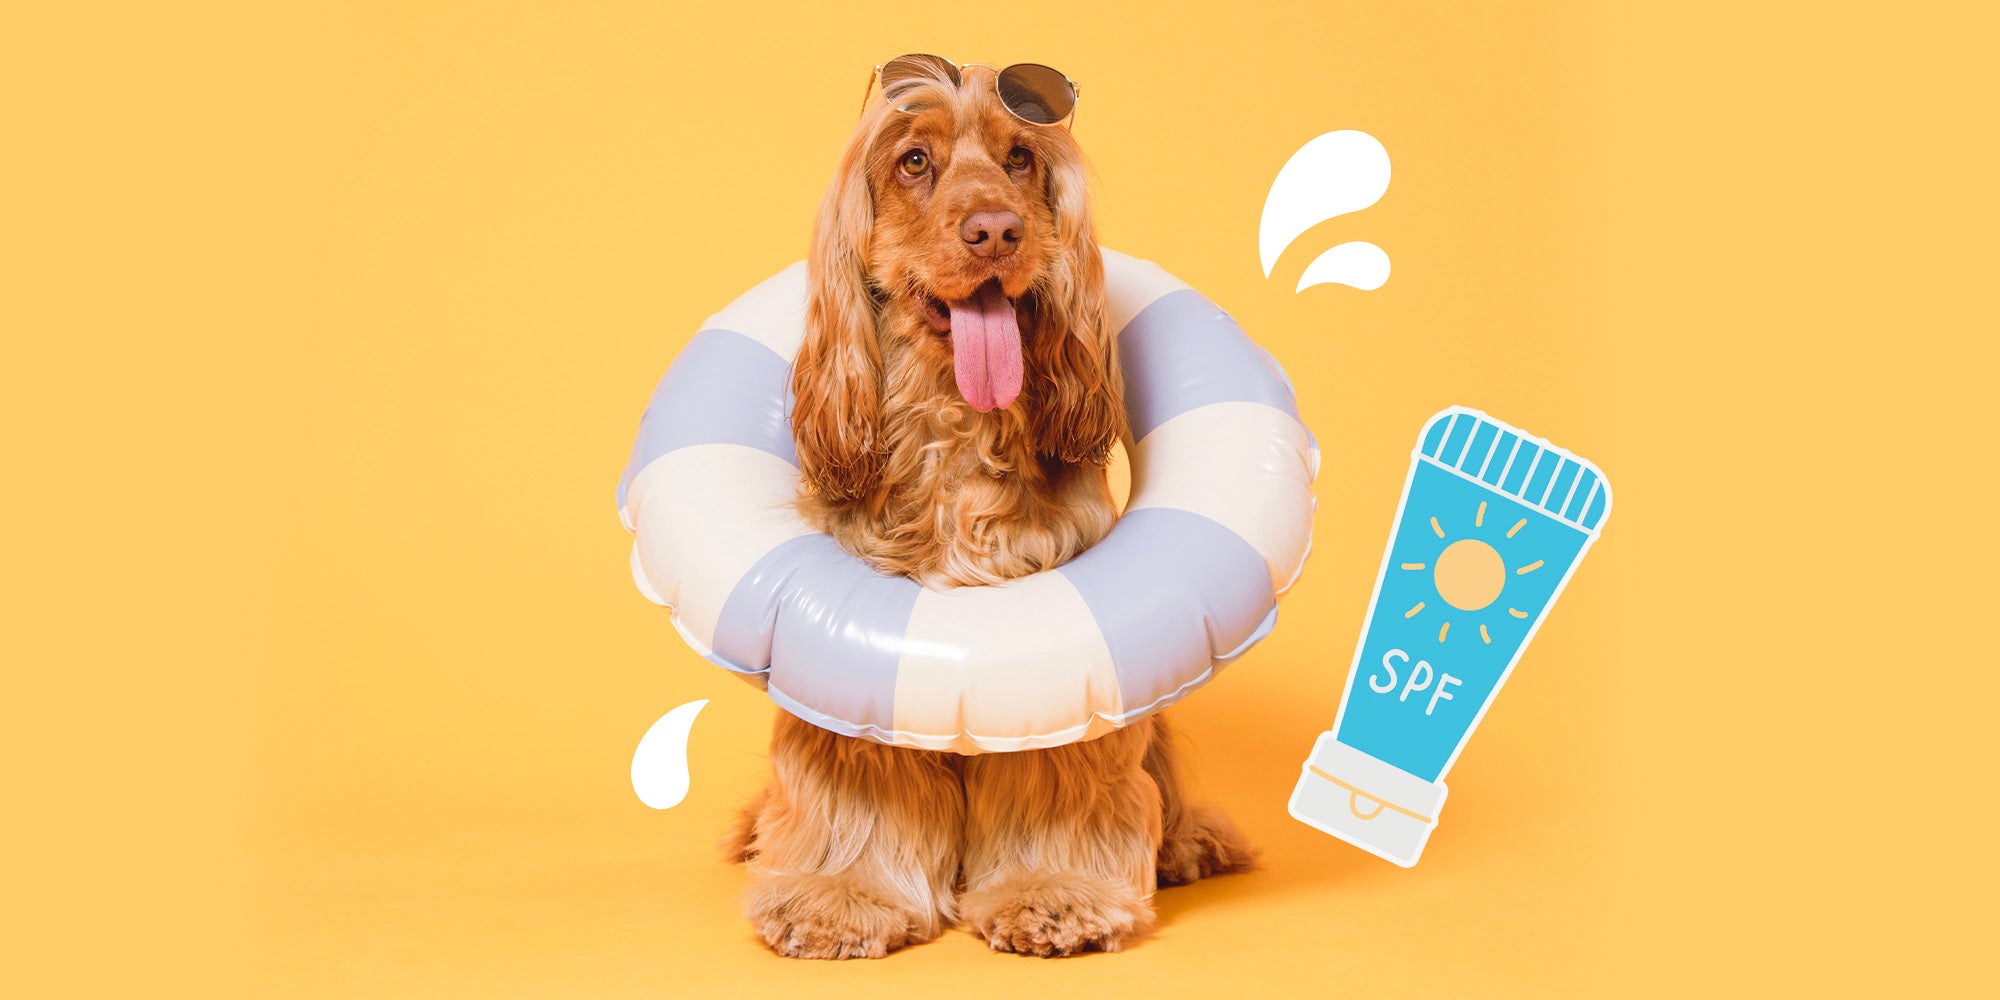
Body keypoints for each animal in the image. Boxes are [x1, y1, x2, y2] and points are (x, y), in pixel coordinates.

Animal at [720, 56, 1248, 960]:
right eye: (914, 162)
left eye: (1019, 159)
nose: (997, 231)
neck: (955, 427)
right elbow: (856, 785)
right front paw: (839, 897)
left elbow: (1061, 775)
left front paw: (1055, 893)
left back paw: (1188, 843)